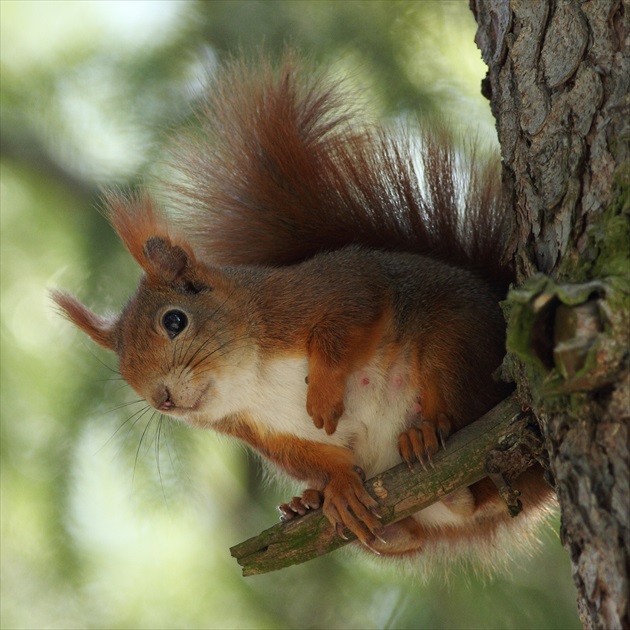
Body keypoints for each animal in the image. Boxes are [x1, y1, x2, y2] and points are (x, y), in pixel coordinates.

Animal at [55, 56, 556, 560]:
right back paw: (331, 509)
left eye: (174, 320)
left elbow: (348, 321)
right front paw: (336, 486)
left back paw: (427, 431)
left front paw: (323, 393)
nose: (162, 399)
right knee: (432, 526)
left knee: (476, 436)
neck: (248, 379)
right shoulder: (266, 434)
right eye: (126, 375)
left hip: (454, 342)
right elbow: (314, 459)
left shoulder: (320, 293)